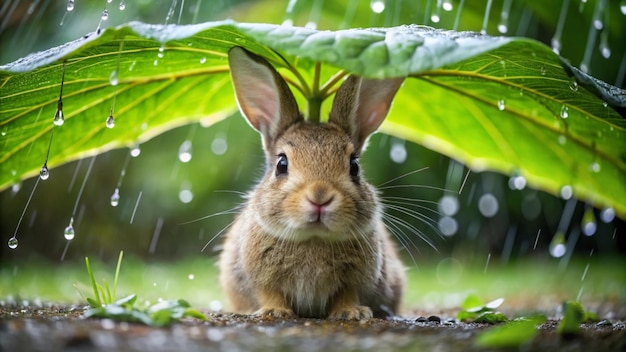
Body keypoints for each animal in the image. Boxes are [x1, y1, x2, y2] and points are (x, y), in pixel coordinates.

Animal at [218, 46, 404, 322]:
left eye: (354, 166)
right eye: (281, 164)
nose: (319, 196)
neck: (313, 239)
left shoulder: (355, 280)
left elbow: (347, 294)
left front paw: (351, 313)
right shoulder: (259, 278)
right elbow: (269, 293)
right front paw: (274, 312)